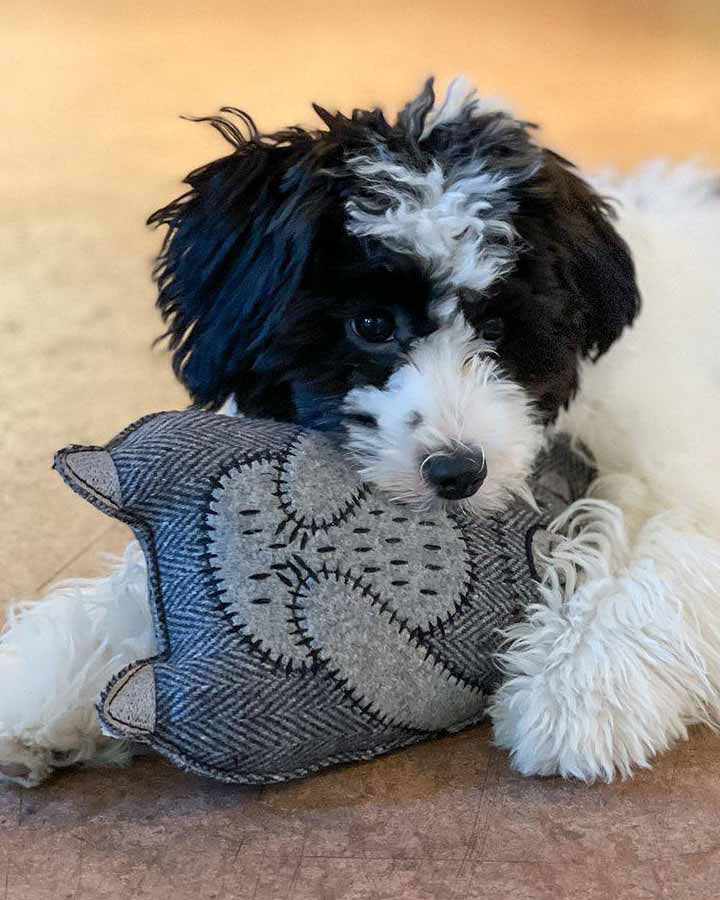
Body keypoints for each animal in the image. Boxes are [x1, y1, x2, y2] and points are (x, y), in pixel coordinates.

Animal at [1, 79, 720, 788]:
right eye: (371, 324)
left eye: (495, 328)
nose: (458, 472)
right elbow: (141, 590)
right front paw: (44, 679)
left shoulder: (674, 458)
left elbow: (653, 547)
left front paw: (579, 687)